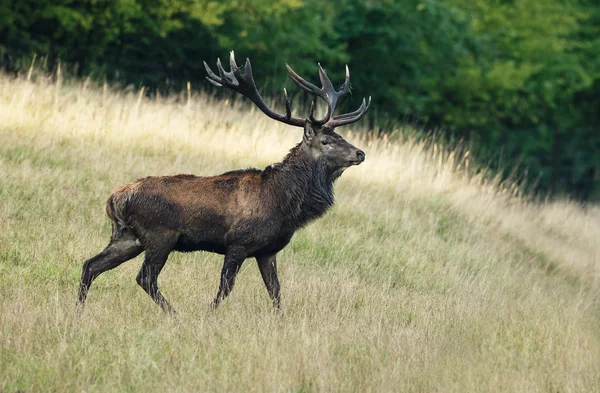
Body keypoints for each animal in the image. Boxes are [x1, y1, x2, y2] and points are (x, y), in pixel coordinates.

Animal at [78, 51, 370, 312]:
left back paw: (79, 309)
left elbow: (276, 291)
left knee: (90, 265)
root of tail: (114, 199)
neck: (284, 205)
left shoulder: (267, 251)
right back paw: (175, 314)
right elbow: (226, 287)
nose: (360, 153)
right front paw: (208, 314)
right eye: (326, 141)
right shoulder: (238, 243)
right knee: (145, 277)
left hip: (128, 237)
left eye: (341, 136)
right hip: (160, 234)